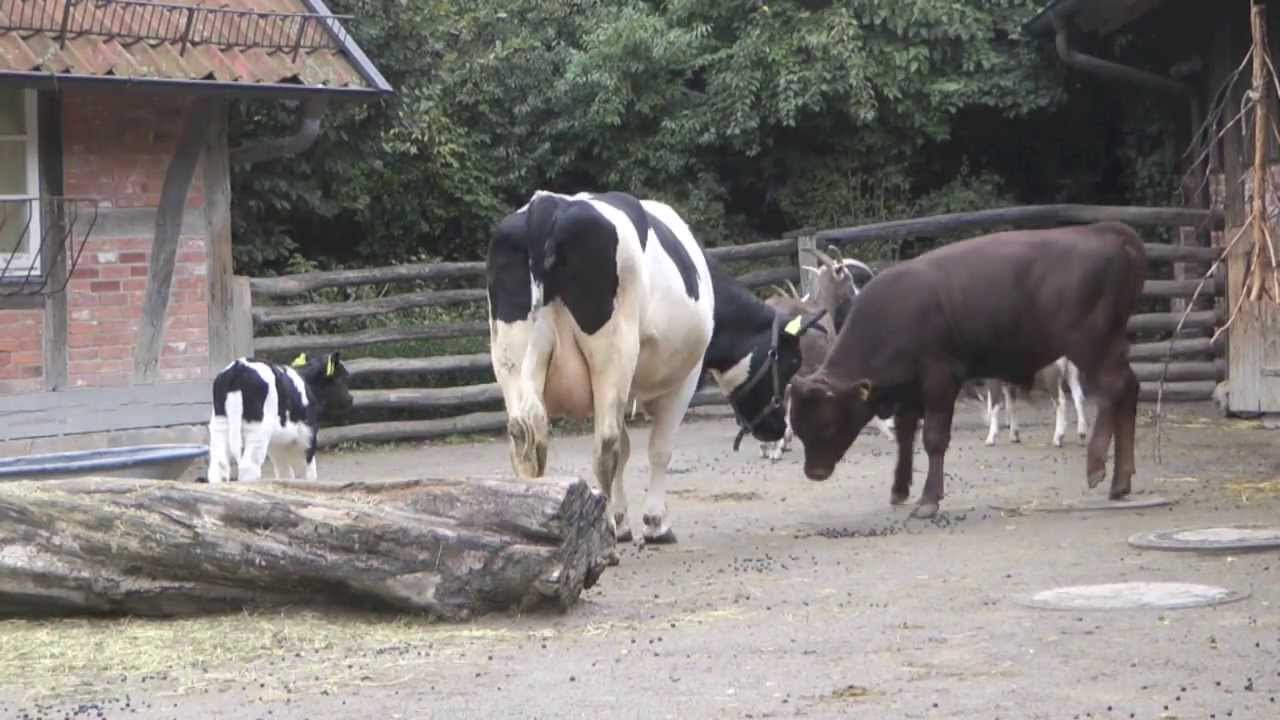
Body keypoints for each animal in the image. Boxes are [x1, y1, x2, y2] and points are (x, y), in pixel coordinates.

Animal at [206, 352, 352, 484]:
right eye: (342, 378)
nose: (351, 399)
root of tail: (239, 367)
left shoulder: (277, 444)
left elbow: (285, 472)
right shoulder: (308, 434)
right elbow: (307, 472)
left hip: (219, 423)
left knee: (219, 465)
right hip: (258, 428)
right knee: (248, 466)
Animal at [487, 190, 824, 546]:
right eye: (792, 362)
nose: (777, 428)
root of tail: (547, 204)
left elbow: (627, 450)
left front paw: (624, 522)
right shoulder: (684, 381)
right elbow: (658, 449)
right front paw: (654, 523)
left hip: (511, 356)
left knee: (525, 433)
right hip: (612, 352)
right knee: (604, 445)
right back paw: (604, 531)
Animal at [786, 222, 1146, 519]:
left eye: (828, 425)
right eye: (800, 427)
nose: (814, 472)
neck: (895, 313)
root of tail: (1106, 231)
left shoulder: (939, 381)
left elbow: (933, 438)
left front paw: (928, 499)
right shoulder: (908, 390)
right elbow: (905, 436)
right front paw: (900, 488)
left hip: (1091, 345)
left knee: (1112, 390)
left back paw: (1096, 466)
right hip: (1112, 345)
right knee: (1129, 389)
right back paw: (1121, 481)